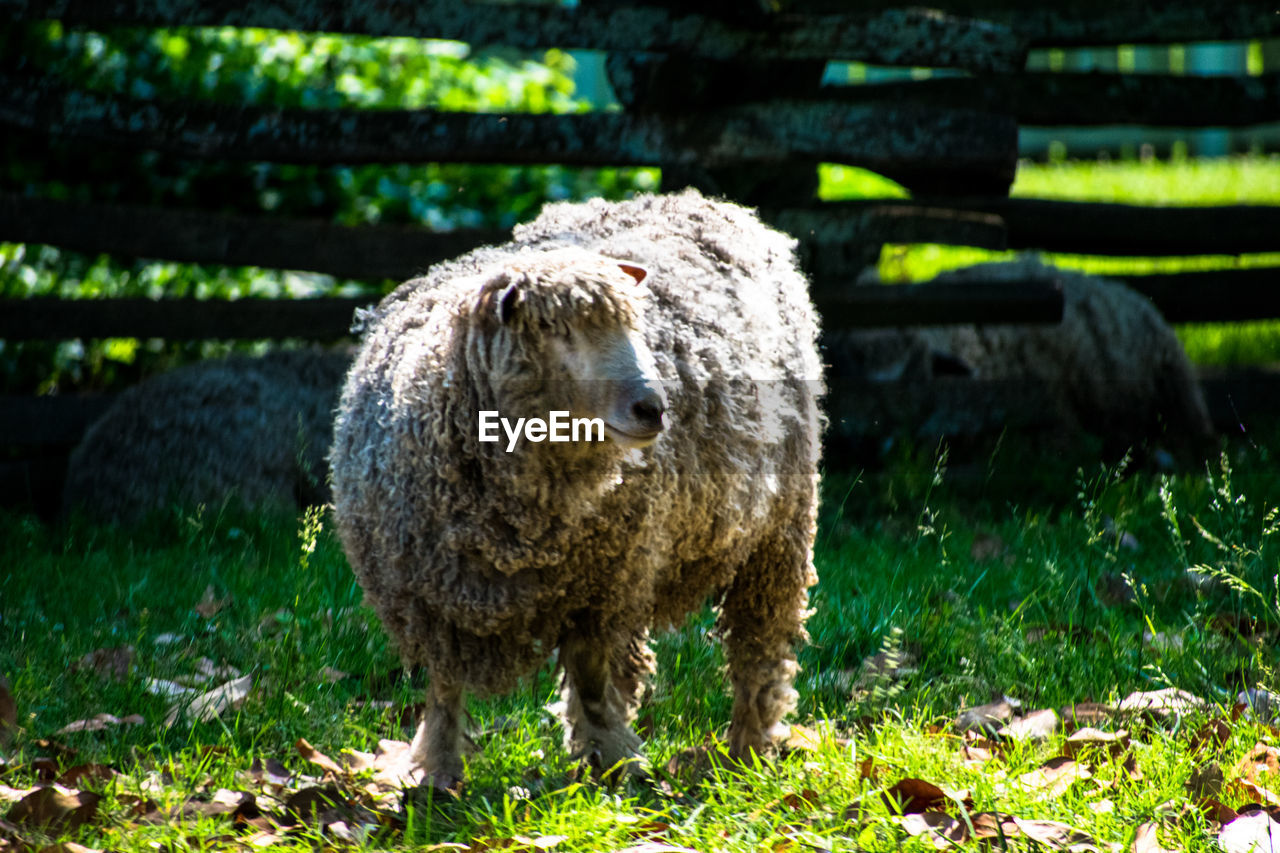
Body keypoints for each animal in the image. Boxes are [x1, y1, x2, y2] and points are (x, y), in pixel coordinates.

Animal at [330, 189, 824, 788]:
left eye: (635, 327)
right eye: (556, 331)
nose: (654, 409)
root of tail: (705, 202)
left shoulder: (600, 592)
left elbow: (589, 676)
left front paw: (615, 763)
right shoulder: (431, 596)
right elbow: (444, 688)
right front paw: (436, 773)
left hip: (778, 531)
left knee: (760, 647)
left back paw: (746, 749)